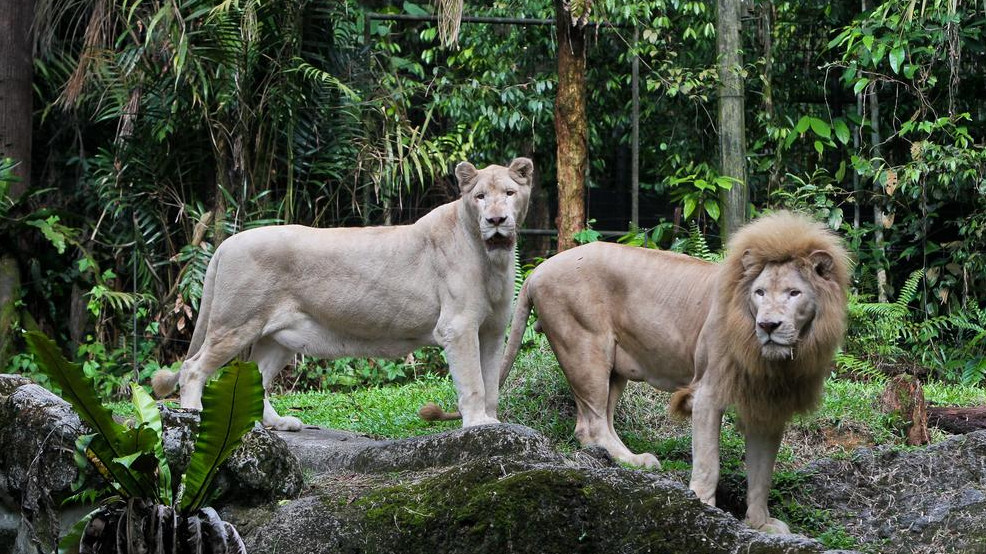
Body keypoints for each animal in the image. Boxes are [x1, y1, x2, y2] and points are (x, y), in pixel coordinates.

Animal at [152, 157, 532, 430]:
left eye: (509, 193)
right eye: (480, 197)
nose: (496, 220)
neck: (492, 257)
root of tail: (226, 244)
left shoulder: (493, 331)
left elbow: (491, 381)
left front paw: (493, 422)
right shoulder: (457, 326)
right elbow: (474, 381)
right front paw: (478, 425)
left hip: (277, 338)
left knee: (256, 378)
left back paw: (279, 423)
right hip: (235, 324)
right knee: (193, 367)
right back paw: (193, 417)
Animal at [492, 210, 844, 532]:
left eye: (793, 293)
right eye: (760, 293)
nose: (768, 325)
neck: (772, 360)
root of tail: (539, 269)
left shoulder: (767, 406)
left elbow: (761, 473)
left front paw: (760, 524)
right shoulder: (707, 393)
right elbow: (708, 462)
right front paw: (704, 507)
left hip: (614, 366)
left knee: (599, 419)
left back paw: (633, 460)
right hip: (586, 347)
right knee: (590, 425)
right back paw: (633, 461)